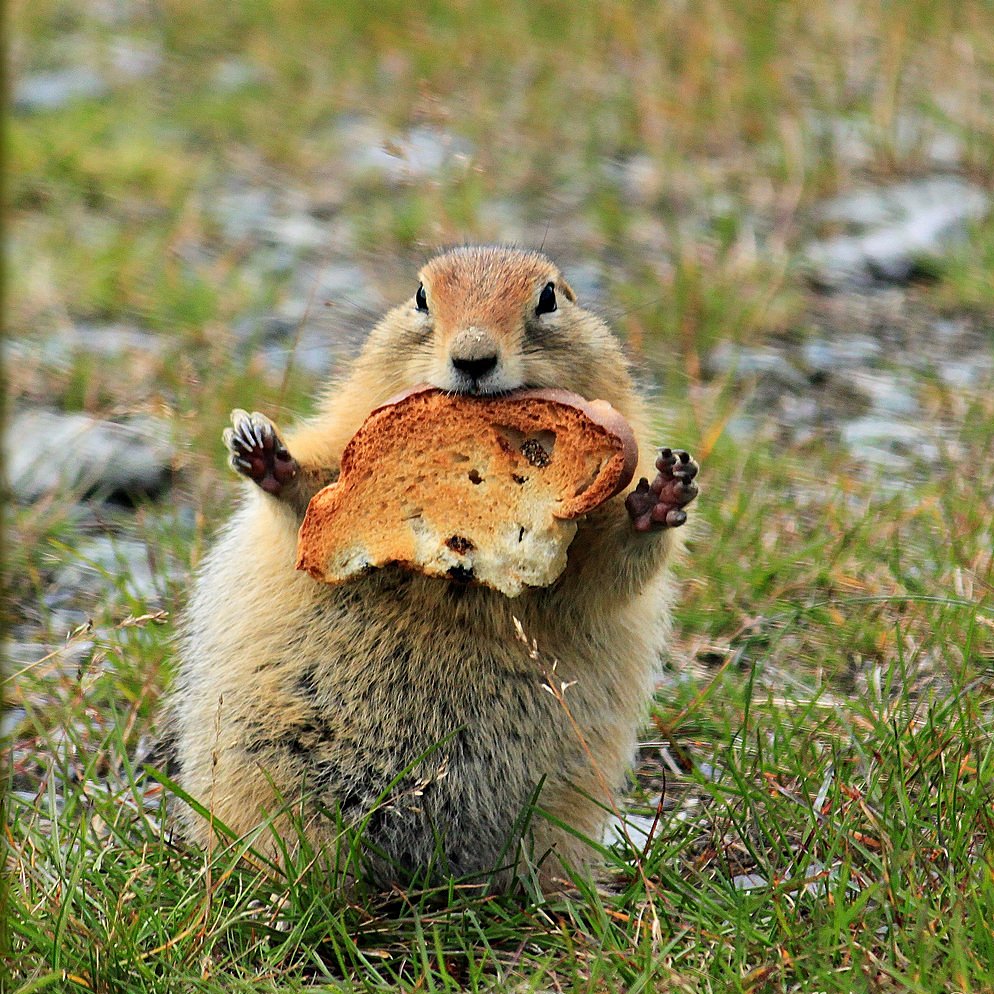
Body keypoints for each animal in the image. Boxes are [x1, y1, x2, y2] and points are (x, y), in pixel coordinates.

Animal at [167, 248, 696, 892]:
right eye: (420, 297)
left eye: (549, 297)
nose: (473, 357)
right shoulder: (344, 443)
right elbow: (311, 495)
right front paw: (263, 450)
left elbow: (604, 573)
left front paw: (661, 495)